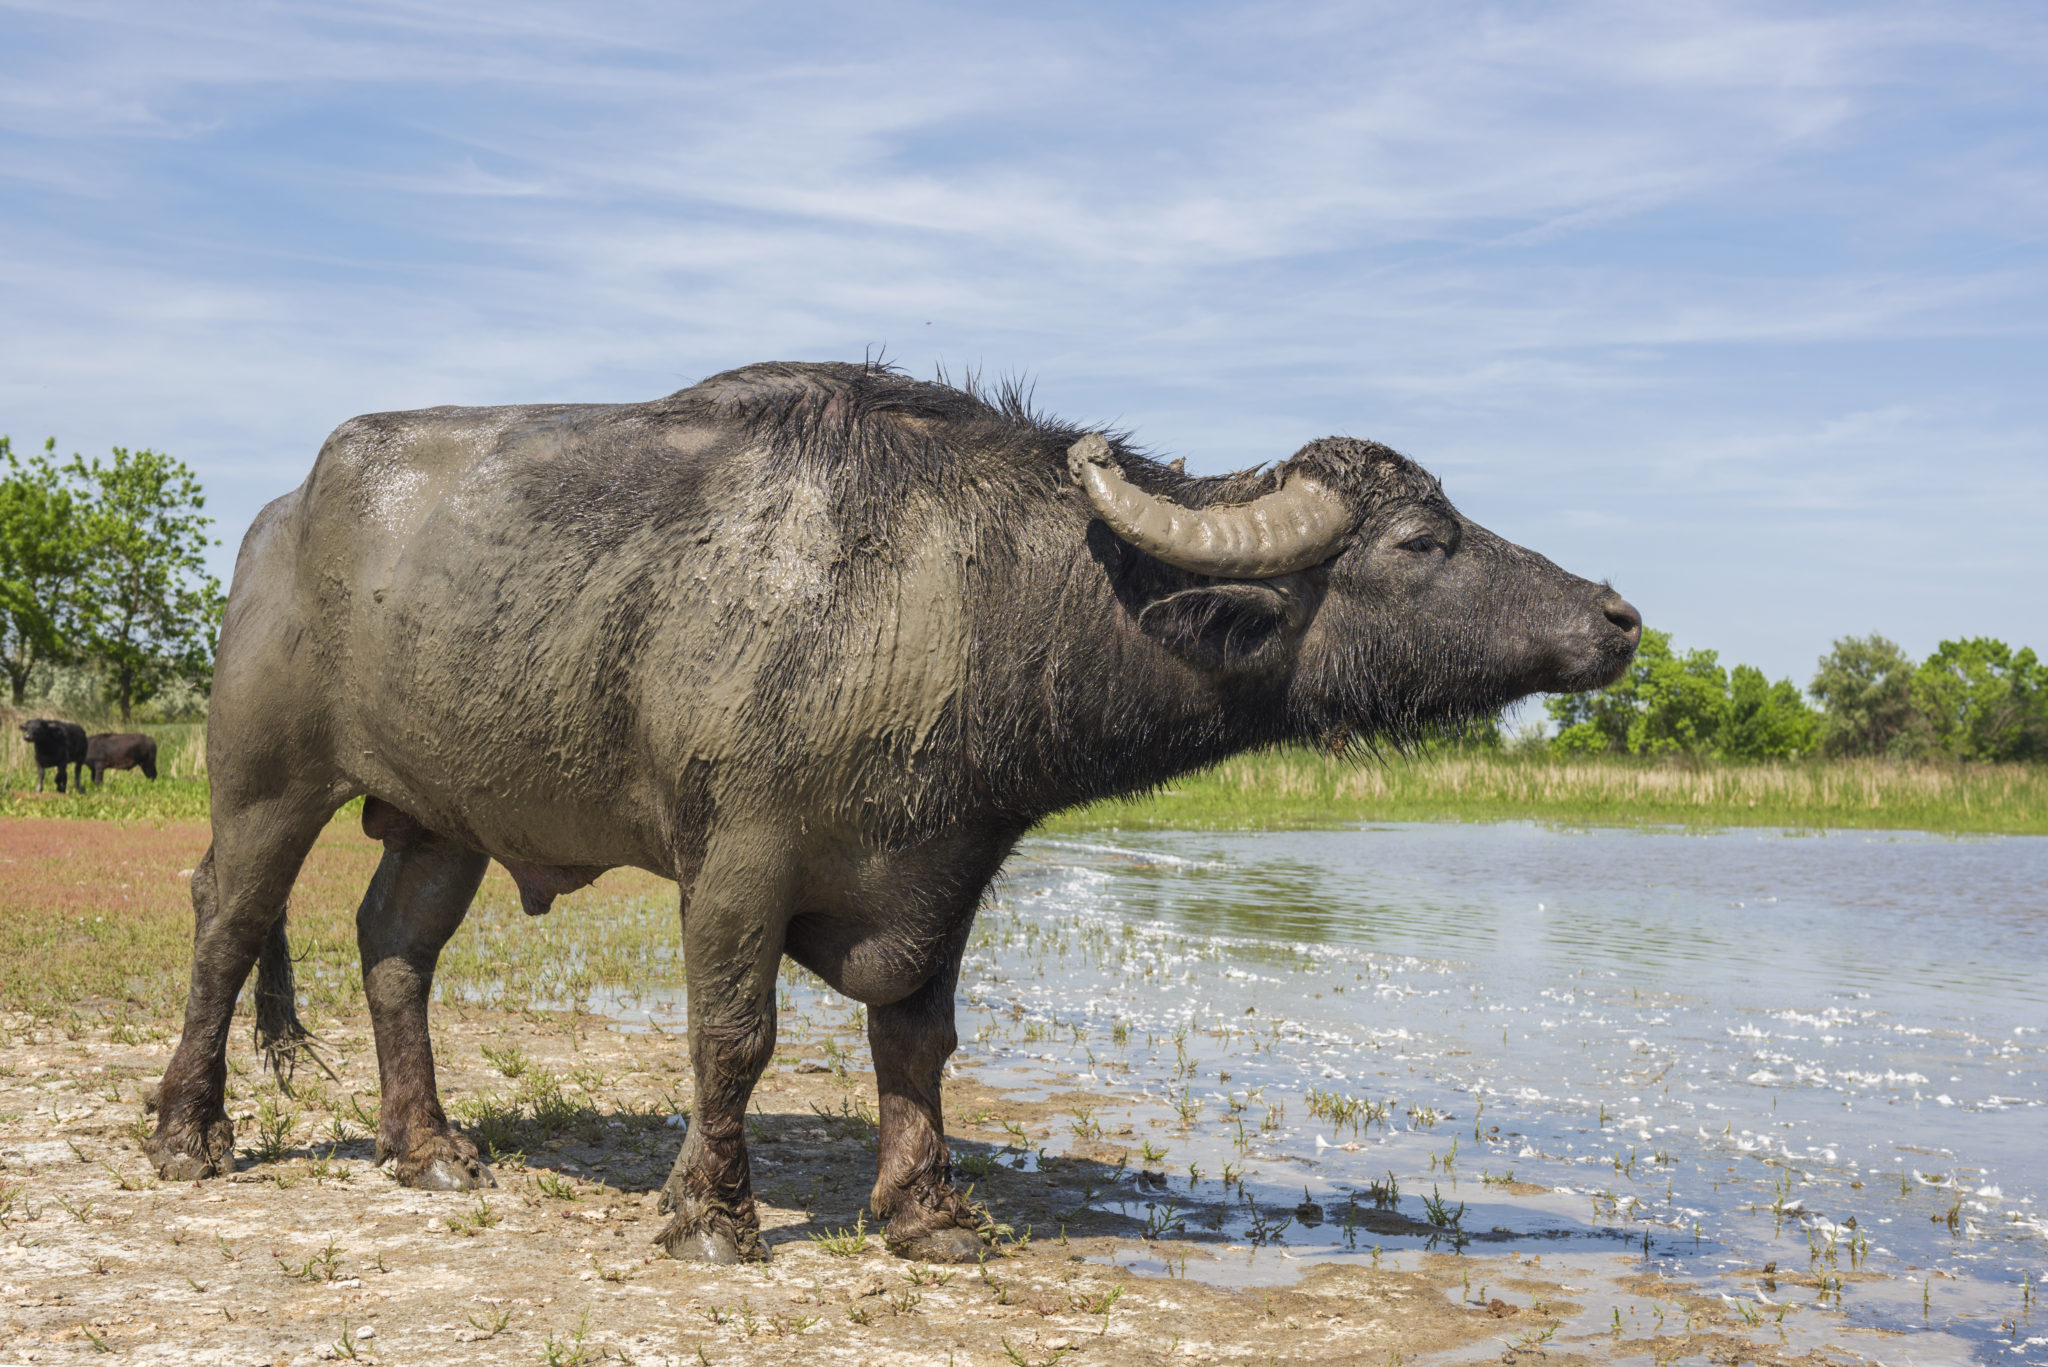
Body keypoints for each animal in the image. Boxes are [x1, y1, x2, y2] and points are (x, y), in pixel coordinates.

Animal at [143, 361, 1640, 1266]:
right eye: (1424, 541)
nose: (1619, 615)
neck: (958, 591)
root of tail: (277, 516)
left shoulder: (942, 862)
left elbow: (917, 1034)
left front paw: (928, 1209)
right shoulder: (737, 856)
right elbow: (735, 1033)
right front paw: (714, 1213)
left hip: (442, 813)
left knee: (394, 947)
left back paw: (431, 1147)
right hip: (268, 777)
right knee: (226, 917)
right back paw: (187, 1132)